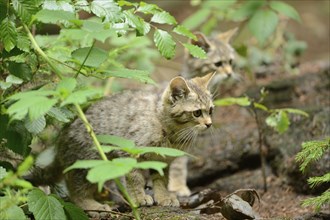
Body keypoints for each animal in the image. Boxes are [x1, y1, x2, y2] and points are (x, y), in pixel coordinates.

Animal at [29, 73, 215, 212]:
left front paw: (163, 197)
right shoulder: (128, 151)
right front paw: (139, 197)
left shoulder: (162, 160)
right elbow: (135, 178)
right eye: (197, 113)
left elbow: (161, 180)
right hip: (90, 161)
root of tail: (61, 139)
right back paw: (93, 206)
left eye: (211, 110)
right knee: (76, 189)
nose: (209, 124)